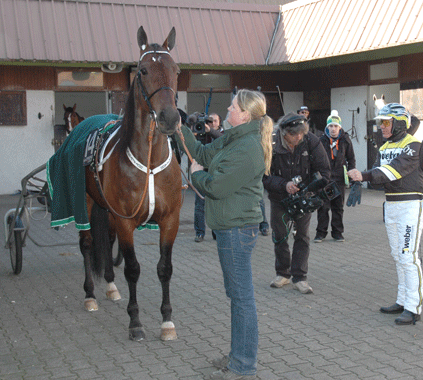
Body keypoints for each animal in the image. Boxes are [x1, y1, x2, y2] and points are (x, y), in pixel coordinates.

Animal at [80, 26, 181, 342]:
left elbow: (165, 268)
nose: (170, 118)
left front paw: (167, 321)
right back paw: (90, 295)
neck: (147, 163)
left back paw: (111, 287)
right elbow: (133, 269)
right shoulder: (125, 222)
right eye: (143, 70)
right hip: (86, 202)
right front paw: (135, 322)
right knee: (87, 244)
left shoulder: (169, 220)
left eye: (176, 69)